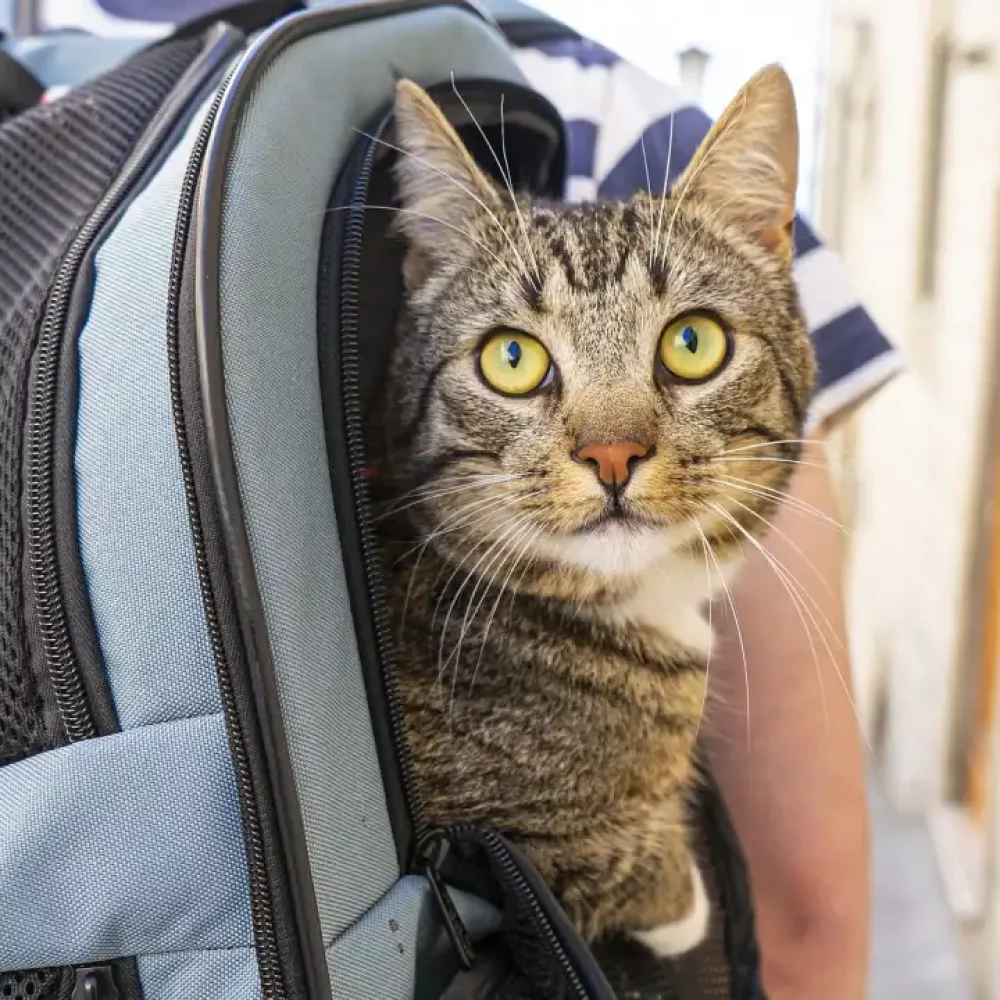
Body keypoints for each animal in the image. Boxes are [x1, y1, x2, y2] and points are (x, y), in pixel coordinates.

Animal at [372, 66, 816, 956]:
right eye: (511, 357)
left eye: (692, 343)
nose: (612, 454)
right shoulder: (492, 852)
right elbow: (606, 869)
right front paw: (685, 900)